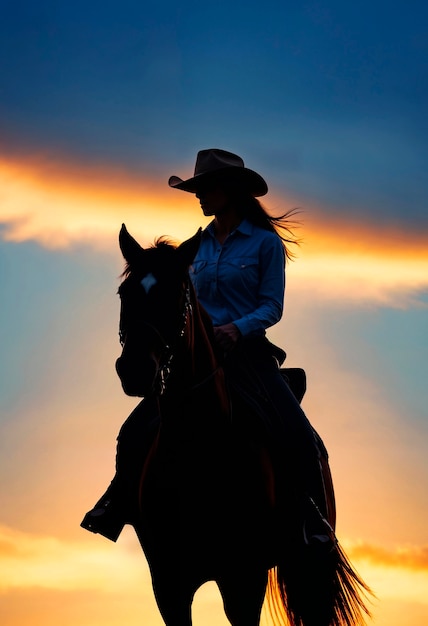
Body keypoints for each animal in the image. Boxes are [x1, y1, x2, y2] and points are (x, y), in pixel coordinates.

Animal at [113, 224, 372, 624]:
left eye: (176, 295)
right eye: (125, 293)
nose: (135, 370)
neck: (197, 448)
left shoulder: (243, 579)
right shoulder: (169, 585)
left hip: (307, 563)